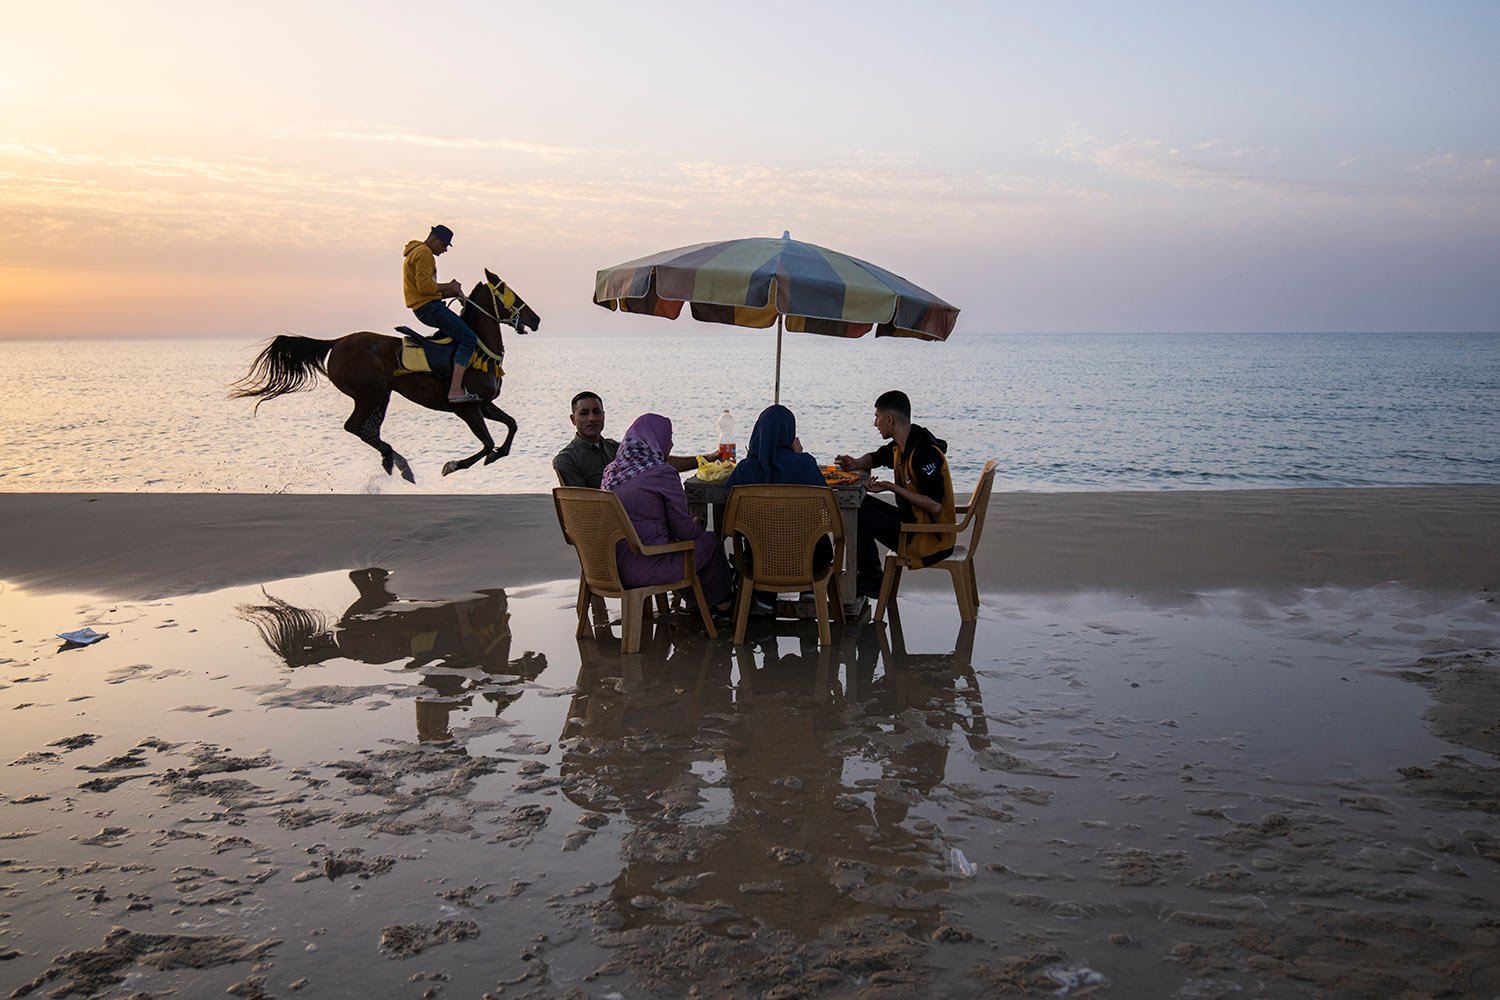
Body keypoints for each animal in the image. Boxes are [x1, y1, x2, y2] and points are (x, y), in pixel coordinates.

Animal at [231, 269, 543, 479]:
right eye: (508, 292)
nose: (536, 319)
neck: (477, 346)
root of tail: (337, 342)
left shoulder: (484, 404)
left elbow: (511, 426)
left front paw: (497, 454)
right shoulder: (467, 408)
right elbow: (487, 442)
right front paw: (454, 465)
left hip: (381, 395)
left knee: (367, 429)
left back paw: (394, 461)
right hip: (369, 394)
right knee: (355, 427)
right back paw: (399, 463)